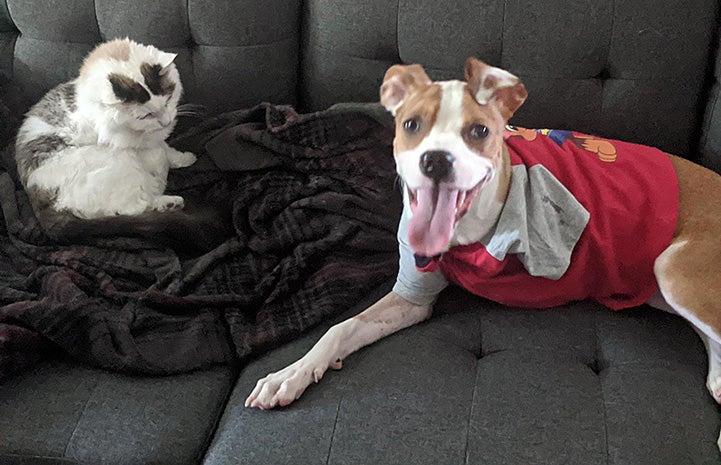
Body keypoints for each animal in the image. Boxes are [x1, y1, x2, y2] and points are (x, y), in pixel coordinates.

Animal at [14, 37, 197, 218]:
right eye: (146, 116)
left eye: (168, 100)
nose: (166, 122)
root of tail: (45, 204)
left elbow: (166, 150)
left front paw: (186, 158)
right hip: (118, 162)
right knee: (135, 206)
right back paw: (169, 201)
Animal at [246, 57, 720, 446]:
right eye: (411, 125)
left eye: (479, 131)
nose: (436, 160)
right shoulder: (410, 297)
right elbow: (339, 329)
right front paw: (290, 374)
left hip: (673, 269)